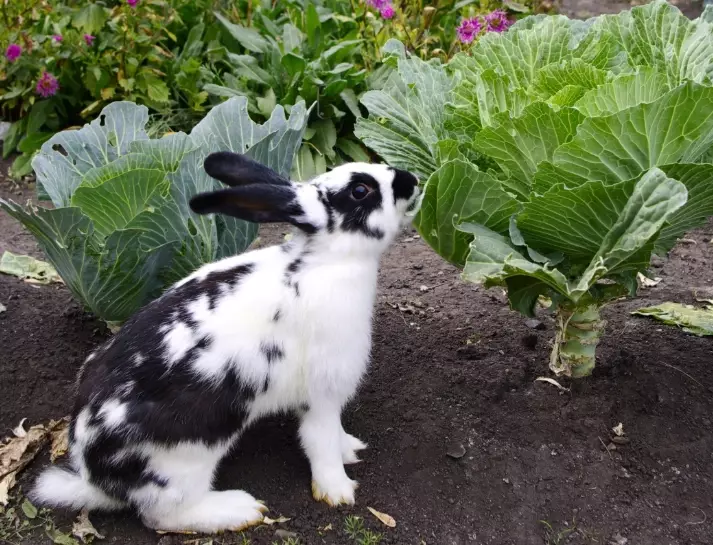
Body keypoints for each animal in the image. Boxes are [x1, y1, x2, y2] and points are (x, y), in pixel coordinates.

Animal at [30, 151, 420, 534]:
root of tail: (95, 479)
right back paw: (239, 510)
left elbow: (336, 433)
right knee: (162, 516)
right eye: (360, 190)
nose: (411, 180)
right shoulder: (322, 391)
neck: (323, 260)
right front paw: (338, 491)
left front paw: (351, 449)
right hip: (185, 459)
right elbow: (319, 439)